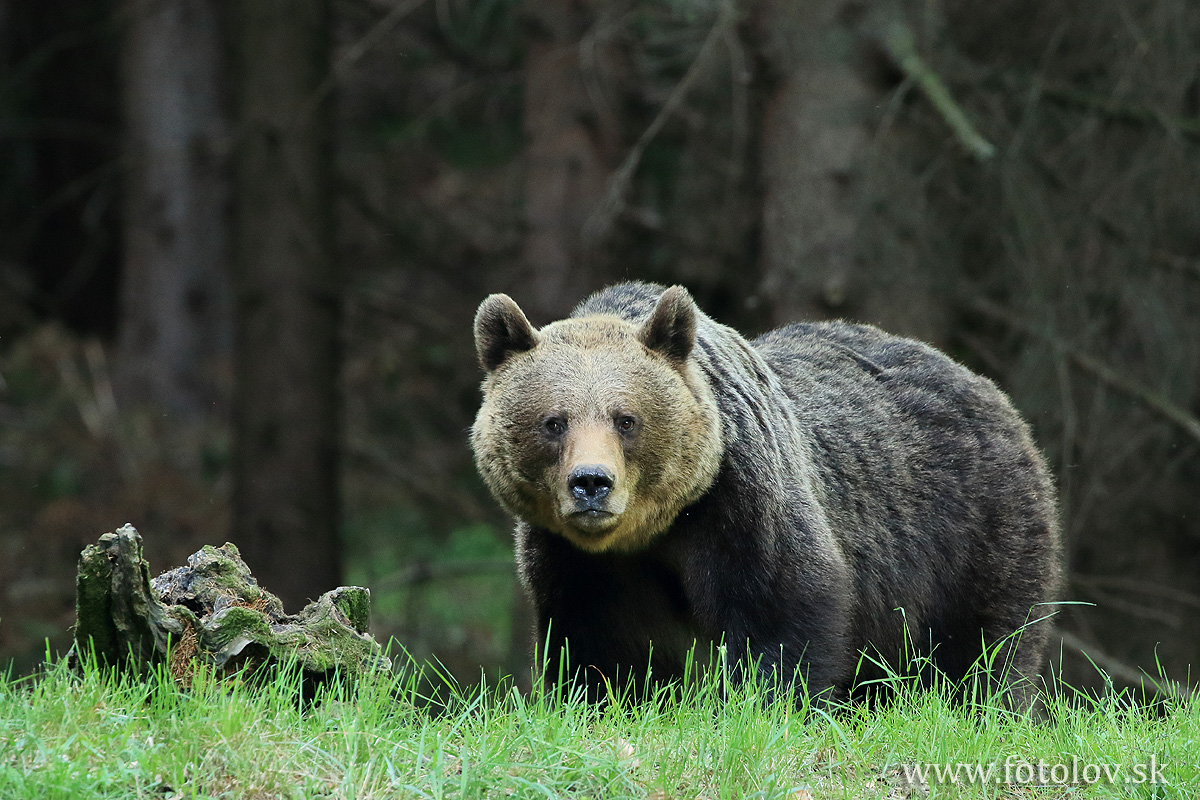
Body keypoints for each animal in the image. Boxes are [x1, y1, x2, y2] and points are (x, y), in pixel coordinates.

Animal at [468, 283, 1060, 705]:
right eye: (553, 422)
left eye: (626, 418)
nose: (591, 482)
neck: (652, 530)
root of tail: (982, 383)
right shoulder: (578, 559)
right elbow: (600, 645)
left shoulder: (739, 504)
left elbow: (780, 609)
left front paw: (764, 701)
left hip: (973, 527)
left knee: (983, 646)